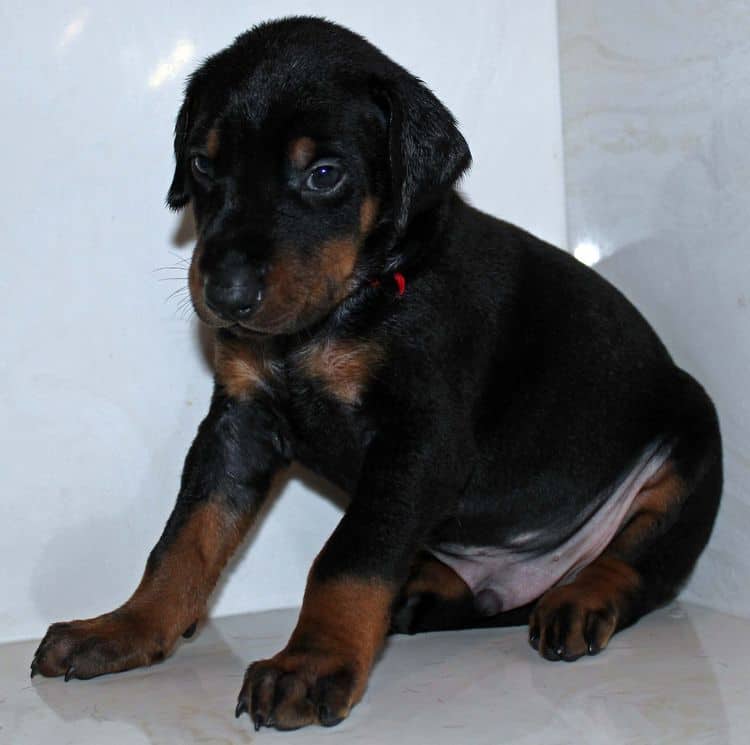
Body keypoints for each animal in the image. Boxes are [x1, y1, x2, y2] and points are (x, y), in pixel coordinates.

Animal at [32, 17, 724, 732]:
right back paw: (423, 593)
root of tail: (535, 578)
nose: (225, 295)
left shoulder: (420, 438)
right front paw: (124, 627)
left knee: (641, 563)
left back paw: (581, 599)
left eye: (324, 174)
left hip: (694, 438)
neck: (345, 308)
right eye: (201, 164)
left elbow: (351, 554)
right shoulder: (239, 423)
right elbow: (186, 536)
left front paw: (310, 664)